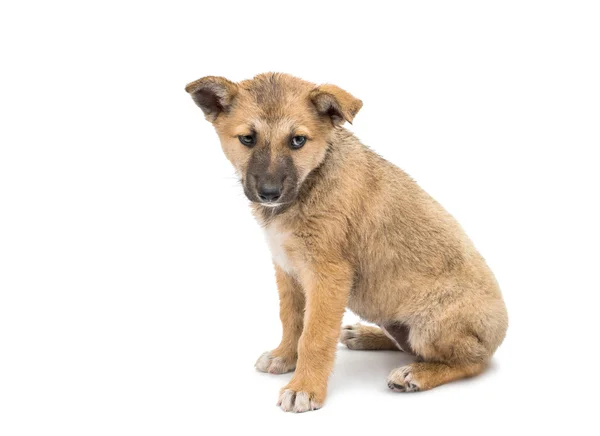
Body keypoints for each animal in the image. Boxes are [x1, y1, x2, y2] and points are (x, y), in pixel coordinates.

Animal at [185, 73, 508, 414]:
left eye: (298, 140)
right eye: (247, 138)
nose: (270, 193)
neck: (313, 180)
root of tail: (499, 335)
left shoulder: (328, 277)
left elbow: (314, 336)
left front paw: (304, 387)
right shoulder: (287, 271)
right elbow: (292, 320)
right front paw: (284, 356)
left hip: (432, 327)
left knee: (470, 363)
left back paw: (415, 374)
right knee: (404, 344)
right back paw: (366, 336)